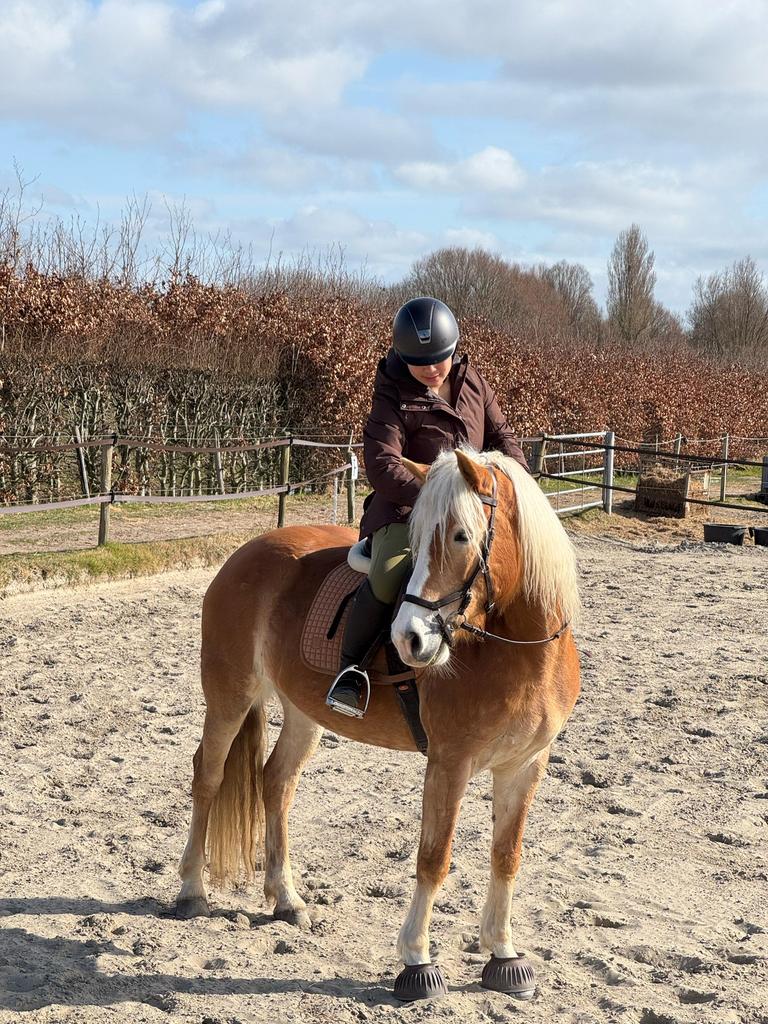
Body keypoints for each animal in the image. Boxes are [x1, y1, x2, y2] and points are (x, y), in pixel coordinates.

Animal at [176, 447, 581, 1001]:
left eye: (461, 535)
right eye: (414, 535)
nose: (410, 639)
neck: (518, 649)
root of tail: (247, 551)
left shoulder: (526, 764)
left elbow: (507, 855)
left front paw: (503, 954)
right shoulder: (450, 762)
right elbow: (434, 857)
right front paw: (416, 961)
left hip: (304, 711)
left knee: (276, 782)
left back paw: (286, 899)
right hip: (229, 696)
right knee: (209, 776)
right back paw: (191, 891)